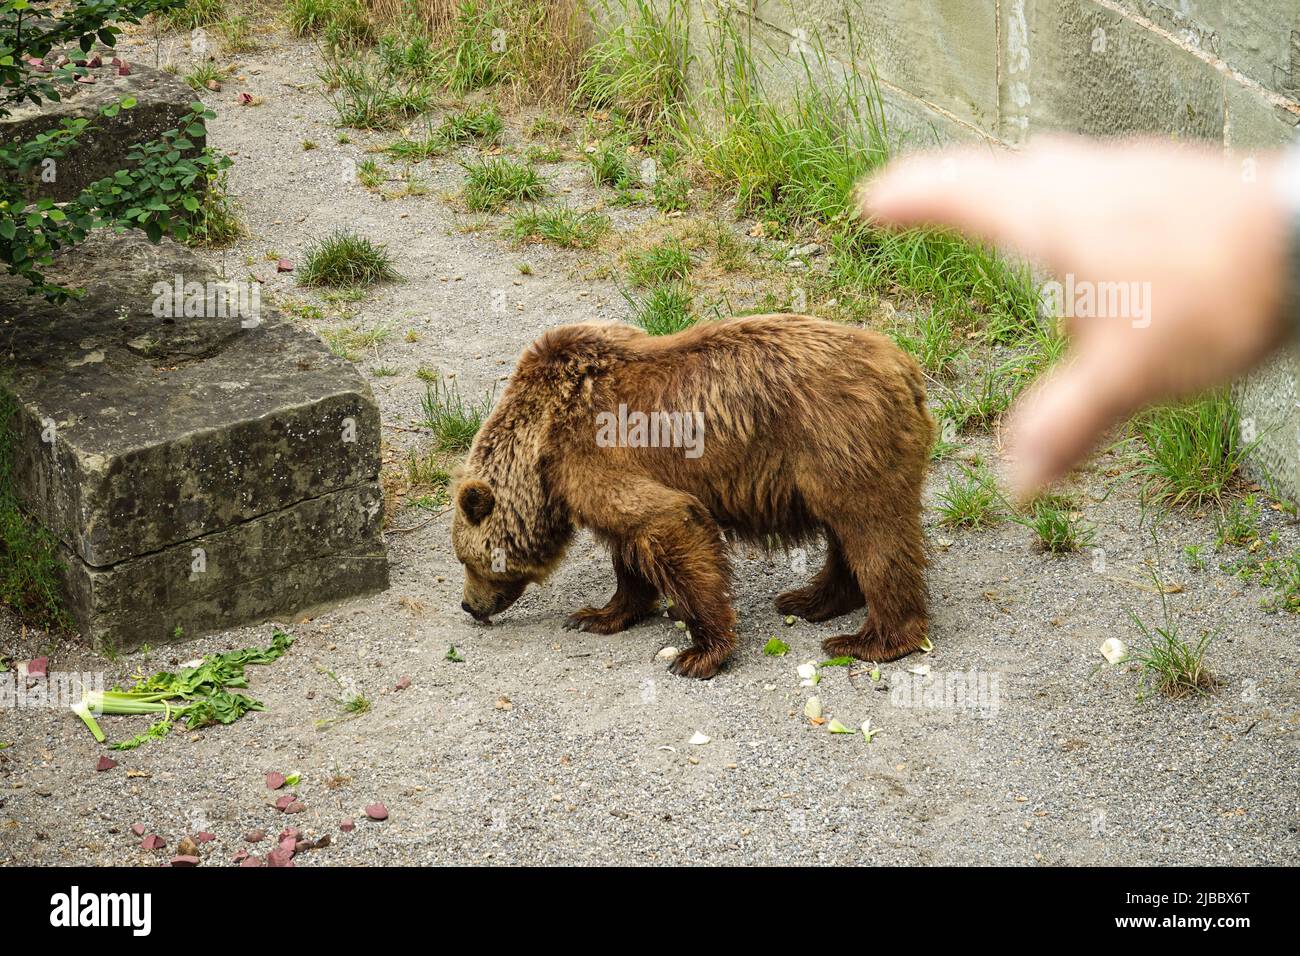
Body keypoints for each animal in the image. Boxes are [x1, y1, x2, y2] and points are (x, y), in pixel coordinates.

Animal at [452, 314, 930, 681]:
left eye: (468, 560)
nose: (469, 605)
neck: (540, 448)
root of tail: (905, 365)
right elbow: (629, 550)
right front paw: (596, 615)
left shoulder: (591, 454)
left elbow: (671, 522)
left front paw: (699, 653)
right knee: (845, 534)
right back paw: (810, 599)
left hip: (840, 440)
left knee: (875, 535)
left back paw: (869, 639)